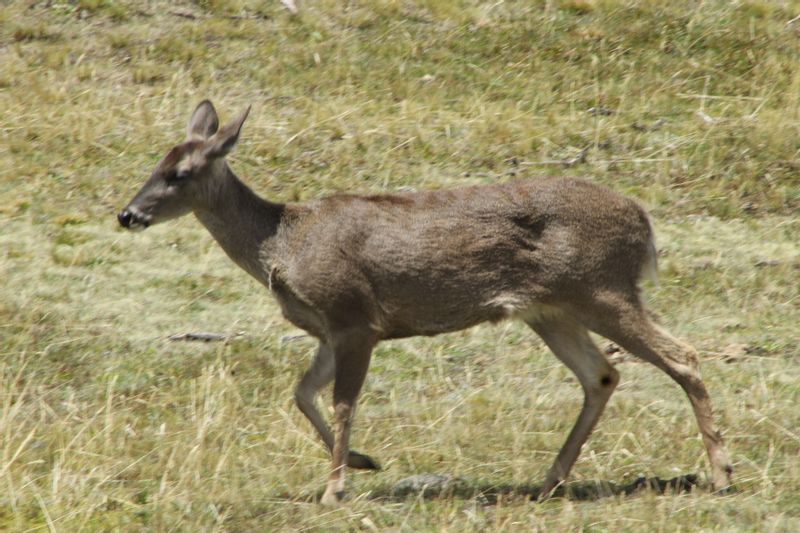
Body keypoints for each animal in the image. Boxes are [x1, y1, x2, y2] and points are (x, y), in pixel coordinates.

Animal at [115, 100, 736, 502]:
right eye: (154, 163)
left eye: (180, 172)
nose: (128, 213)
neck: (283, 242)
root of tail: (644, 222)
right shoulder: (328, 328)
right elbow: (301, 393)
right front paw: (362, 462)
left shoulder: (354, 316)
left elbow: (342, 403)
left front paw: (335, 487)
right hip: (552, 310)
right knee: (602, 374)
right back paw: (549, 479)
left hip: (602, 287)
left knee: (682, 355)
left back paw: (722, 473)